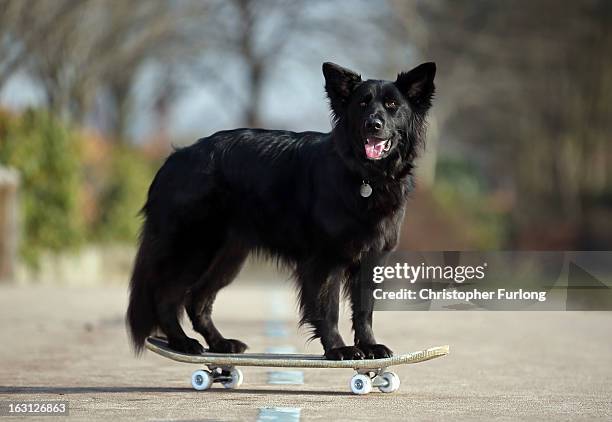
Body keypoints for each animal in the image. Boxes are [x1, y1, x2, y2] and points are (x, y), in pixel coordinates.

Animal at [128, 61, 436, 360]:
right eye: (362, 104)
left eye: (393, 105)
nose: (374, 124)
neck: (365, 177)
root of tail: (174, 159)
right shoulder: (325, 261)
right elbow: (328, 309)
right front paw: (339, 349)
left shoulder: (371, 260)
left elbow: (364, 310)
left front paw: (370, 346)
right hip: (194, 250)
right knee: (165, 296)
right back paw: (182, 342)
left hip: (227, 258)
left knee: (197, 301)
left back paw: (220, 343)